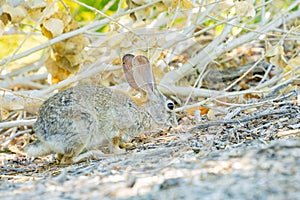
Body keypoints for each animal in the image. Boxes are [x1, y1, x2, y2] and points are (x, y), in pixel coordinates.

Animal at [25, 53, 176, 164]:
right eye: (170, 105)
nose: (175, 123)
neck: (143, 109)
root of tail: (43, 134)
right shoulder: (116, 129)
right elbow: (114, 143)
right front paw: (120, 152)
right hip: (83, 128)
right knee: (67, 160)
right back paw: (95, 154)